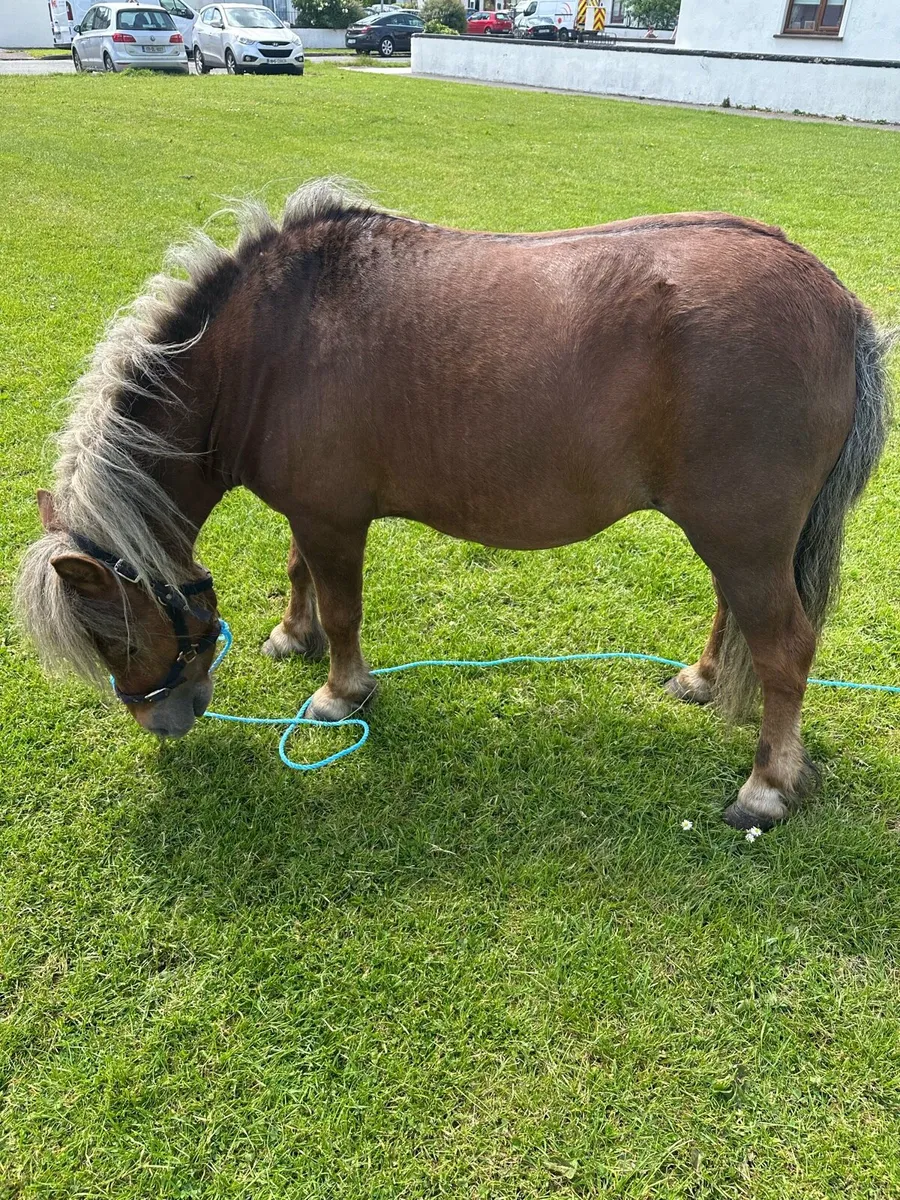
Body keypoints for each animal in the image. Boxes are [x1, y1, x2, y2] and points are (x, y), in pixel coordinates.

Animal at [16, 180, 893, 830]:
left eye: (117, 634)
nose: (165, 720)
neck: (268, 342)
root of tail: (834, 299)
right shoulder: (311, 511)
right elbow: (300, 574)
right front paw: (292, 637)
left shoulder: (334, 518)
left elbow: (342, 608)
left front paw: (339, 693)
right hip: (735, 534)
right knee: (734, 612)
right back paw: (704, 680)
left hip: (744, 534)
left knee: (785, 649)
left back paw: (766, 787)